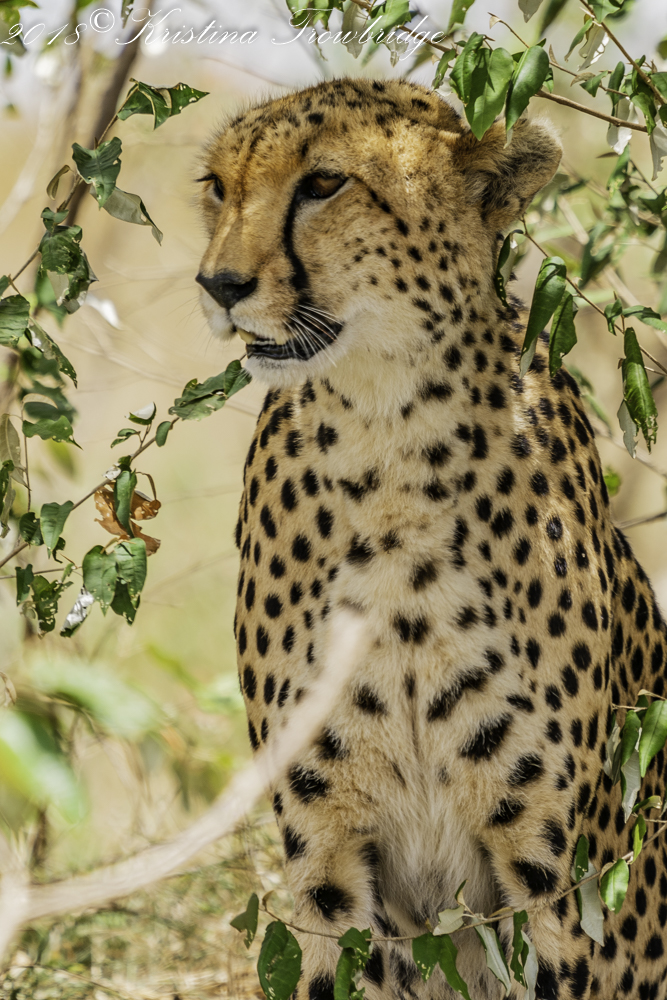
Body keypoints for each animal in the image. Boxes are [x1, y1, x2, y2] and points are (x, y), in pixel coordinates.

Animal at [195, 77, 667, 1000]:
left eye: (323, 184)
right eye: (218, 187)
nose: (219, 284)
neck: (384, 441)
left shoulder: (550, 878)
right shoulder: (329, 857)